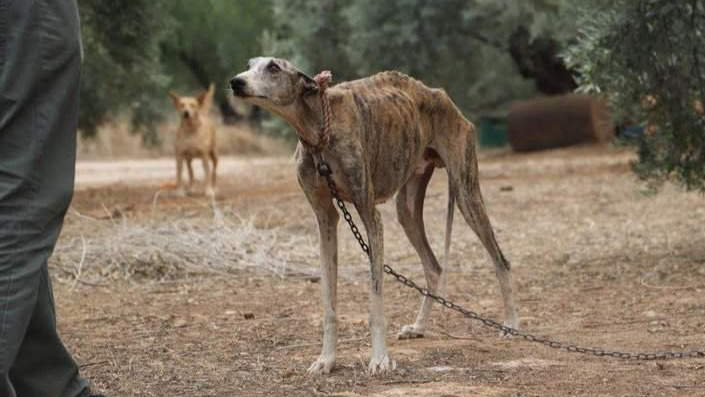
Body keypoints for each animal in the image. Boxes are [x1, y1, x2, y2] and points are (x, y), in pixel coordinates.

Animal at [231, 57, 516, 372]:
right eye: (250, 64)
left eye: (273, 67)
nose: (236, 82)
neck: (319, 133)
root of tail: (443, 97)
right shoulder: (325, 220)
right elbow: (329, 302)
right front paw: (326, 360)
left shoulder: (370, 216)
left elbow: (375, 299)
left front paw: (379, 359)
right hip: (407, 210)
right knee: (434, 266)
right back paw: (418, 327)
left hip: (467, 195)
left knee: (501, 261)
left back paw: (510, 324)